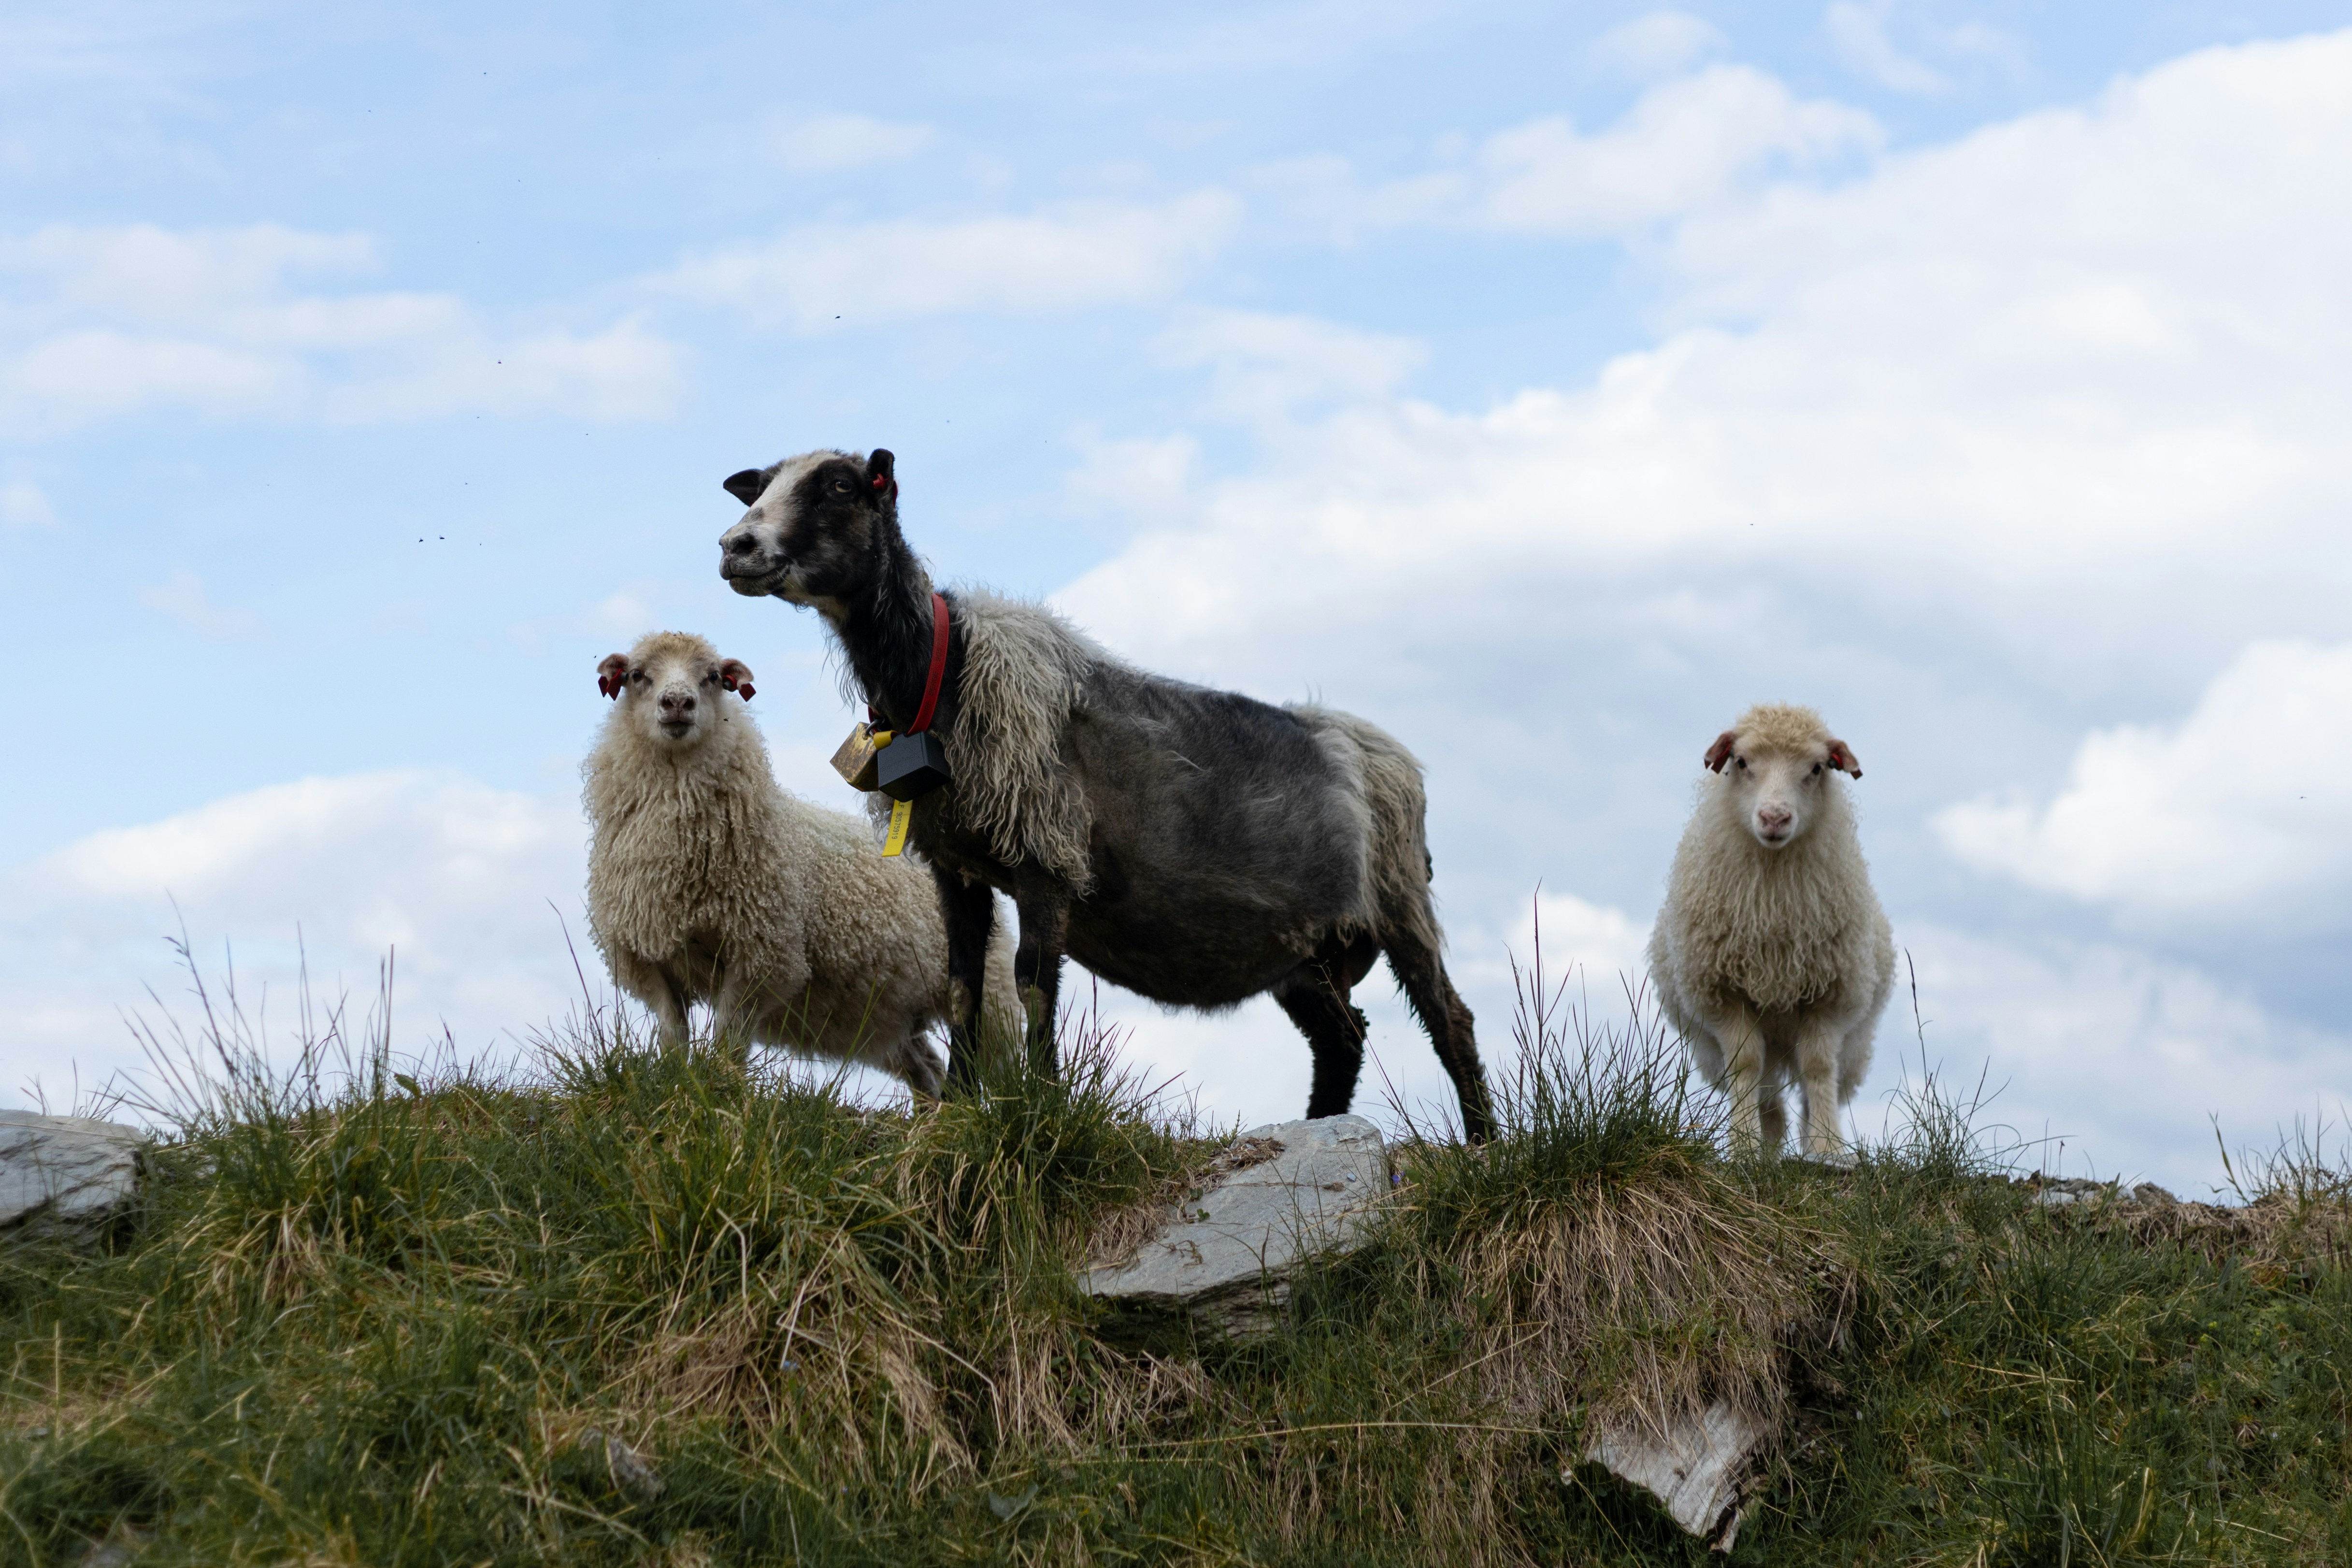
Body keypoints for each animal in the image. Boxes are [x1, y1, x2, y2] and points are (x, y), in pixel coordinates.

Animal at [582, 629, 1016, 1096]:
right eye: (637, 675)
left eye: (713, 677)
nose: (678, 702)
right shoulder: (648, 959)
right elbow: (673, 1034)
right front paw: (680, 1085)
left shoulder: (763, 952)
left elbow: (729, 1036)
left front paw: (721, 1088)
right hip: (886, 1014)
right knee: (925, 1070)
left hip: (990, 995)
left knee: (999, 1063)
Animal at [715, 448, 1495, 1141]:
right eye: (763, 484)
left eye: (840, 486)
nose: (734, 546)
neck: (940, 670)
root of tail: (1386, 752)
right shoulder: (956, 864)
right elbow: (963, 986)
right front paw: (961, 1114)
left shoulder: (1045, 854)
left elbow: (1032, 984)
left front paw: (1042, 1106)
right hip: (1306, 951)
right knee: (1343, 1038)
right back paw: (1319, 1128)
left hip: (1398, 899)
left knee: (1449, 1021)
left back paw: (1484, 1141)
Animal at [1646, 703, 1894, 1161]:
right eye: (1742, 762)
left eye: (1817, 768)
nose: (1775, 817)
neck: (1773, 902)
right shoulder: (1726, 993)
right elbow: (1745, 1065)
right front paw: (1744, 1148)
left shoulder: (1829, 993)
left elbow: (1819, 1068)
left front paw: (1828, 1149)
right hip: (1718, 1048)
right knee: (1769, 1098)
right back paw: (1767, 1152)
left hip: (1855, 1045)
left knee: (1810, 1092)